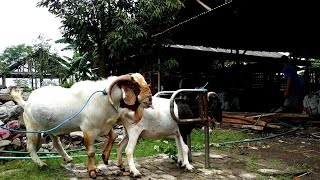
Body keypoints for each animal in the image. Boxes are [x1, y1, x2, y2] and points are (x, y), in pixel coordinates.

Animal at [10, 73, 153, 179]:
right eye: (134, 86)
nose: (150, 99)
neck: (105, 100)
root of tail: (26, 103)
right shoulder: (89, 129)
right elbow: (91, 152)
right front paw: (92, 171)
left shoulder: (104, 126)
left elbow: (113, 136)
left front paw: (105, 157)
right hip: (32, 129)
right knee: (30, 147)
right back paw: (41, 164)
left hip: (51, 129)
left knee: (56, 143)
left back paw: (68, 159)